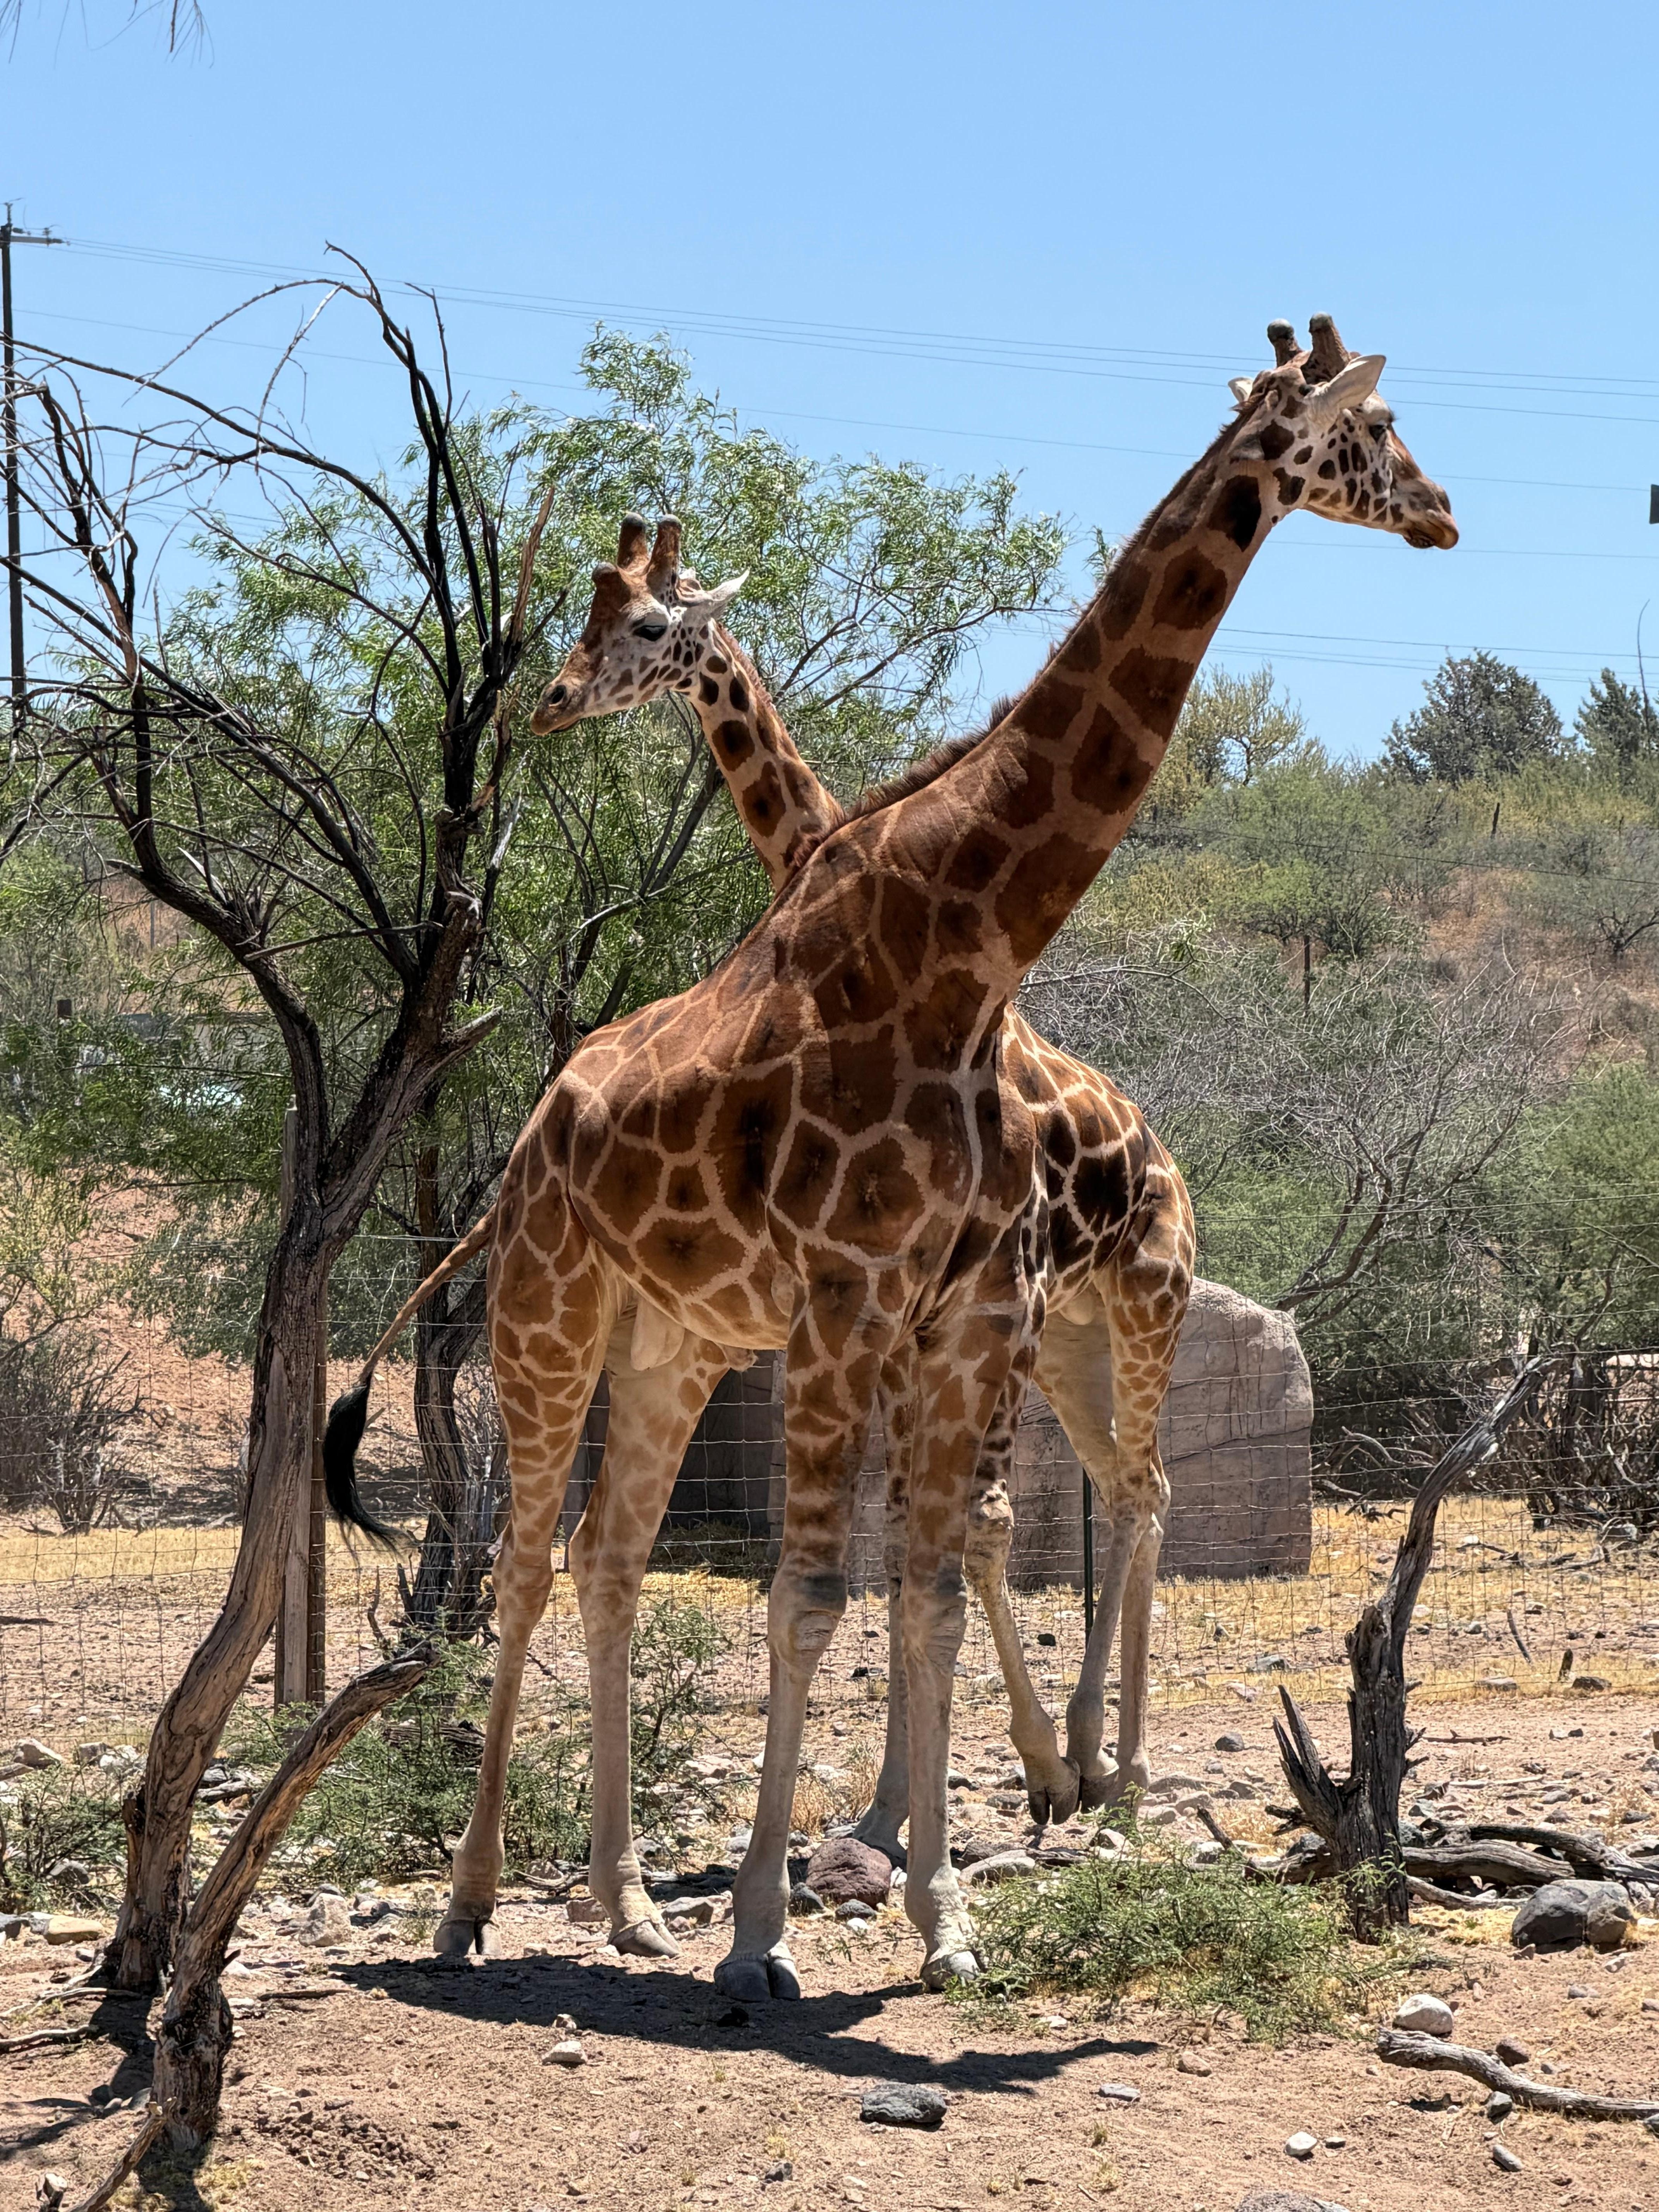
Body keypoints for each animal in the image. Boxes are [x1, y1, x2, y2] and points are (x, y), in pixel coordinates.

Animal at [328, 316, 1456, 1998]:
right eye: (1375, 427)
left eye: (645, 623)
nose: (1440, 511)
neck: (960, 940)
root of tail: (527, 1145)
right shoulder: (853, 1297)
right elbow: (818, 1593)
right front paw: (767, 1928)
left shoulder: (966, 1308)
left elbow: (921, 1578)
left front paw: (936, 1908)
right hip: (557, 1315)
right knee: (533, 1561)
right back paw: (483, 1909)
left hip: (854, 1328)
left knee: (1050, 1504)